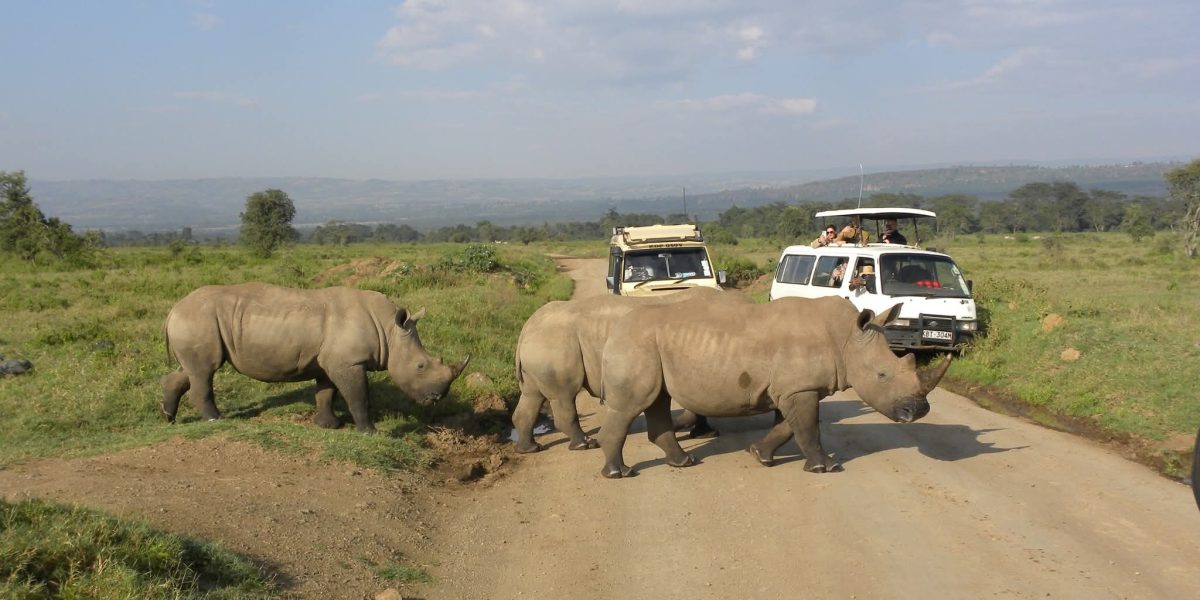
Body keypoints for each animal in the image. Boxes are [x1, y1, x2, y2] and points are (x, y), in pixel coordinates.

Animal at [160, 283, 470, 433]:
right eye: (420, 365)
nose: (437, 398)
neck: (389, 330)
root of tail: (173, 309)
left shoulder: (330, 361)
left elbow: (326, 393)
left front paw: (329, 425)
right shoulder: (349, 362)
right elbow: (359, 396)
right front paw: (370, 432)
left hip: (196, 321)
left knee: (190, 370)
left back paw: (169, 418)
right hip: (199, 319)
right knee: (205, 370)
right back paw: (216, 420)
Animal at [513, 287, 745, 453]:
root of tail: (527, 325)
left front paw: (704, 432)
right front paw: (696, 430)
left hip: (543, 343)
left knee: (532, 394)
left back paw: (530, 448)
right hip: (554, 342)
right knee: (564, 394)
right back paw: (584, 444)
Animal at [597, 295, 951, 478]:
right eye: (882, 375)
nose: (919, 411)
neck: (847, 338)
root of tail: (616, 326)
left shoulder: (792, 388)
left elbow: (788, 428)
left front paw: (760, 455)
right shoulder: (800, 389)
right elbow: (808, 428)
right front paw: (825, 467)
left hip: (649, 344)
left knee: (657, 398)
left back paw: (683, 463)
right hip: (636, 343)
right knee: (631, 405)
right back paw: (619, 473)